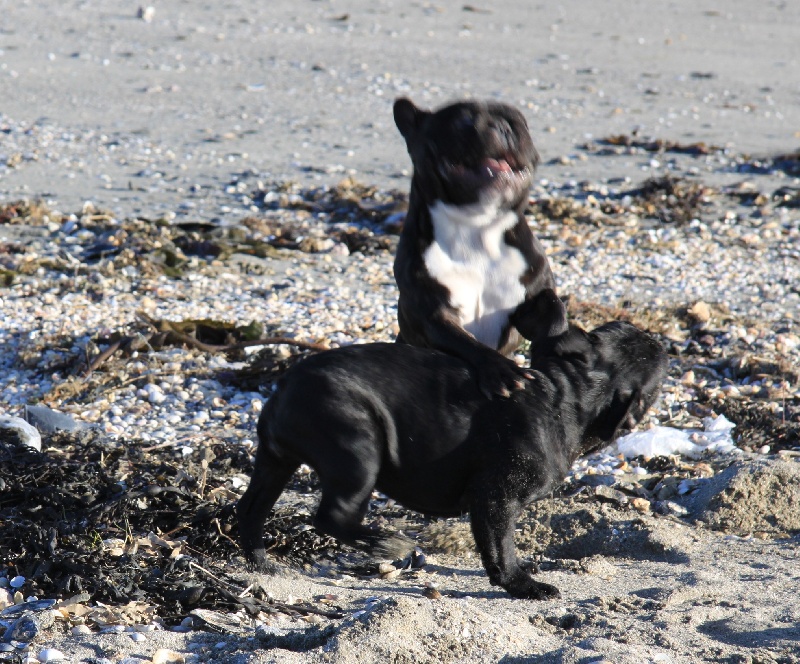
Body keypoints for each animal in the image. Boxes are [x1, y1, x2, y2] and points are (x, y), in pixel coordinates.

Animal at [237, 290, 668, 599]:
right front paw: (522, 586)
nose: (659, 340)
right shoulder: (496, 497)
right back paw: (386, 543)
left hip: (276, 462)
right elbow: (501, 547)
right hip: (357, 453)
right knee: (333, 516)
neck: (567, 394)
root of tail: (286, 385)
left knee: (252, 507)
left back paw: (260, 562)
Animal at [392, 97, 564, 398]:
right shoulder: (432, 314)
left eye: (521, 121)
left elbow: (555, 313)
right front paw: (503, 371)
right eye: (463, 120)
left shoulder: (535, 294)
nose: (505, 126)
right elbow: (467, 342)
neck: (476, 228)